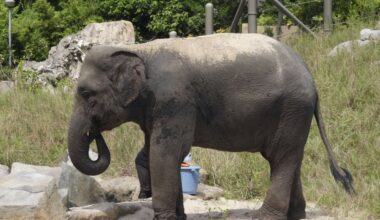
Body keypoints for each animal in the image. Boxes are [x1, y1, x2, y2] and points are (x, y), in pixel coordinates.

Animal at [67, 33, 354, 220]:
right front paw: (178, 216)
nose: (93, 133)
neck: (139, 50)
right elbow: (159, 153)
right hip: (294, 114)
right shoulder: (159, 107)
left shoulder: (174, 100)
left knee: (281, 158)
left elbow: (165, 154)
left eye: (87, 94)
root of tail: (312, 80)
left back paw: (264, 216)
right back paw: (296, 215)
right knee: (290, 158)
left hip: (291, 109)